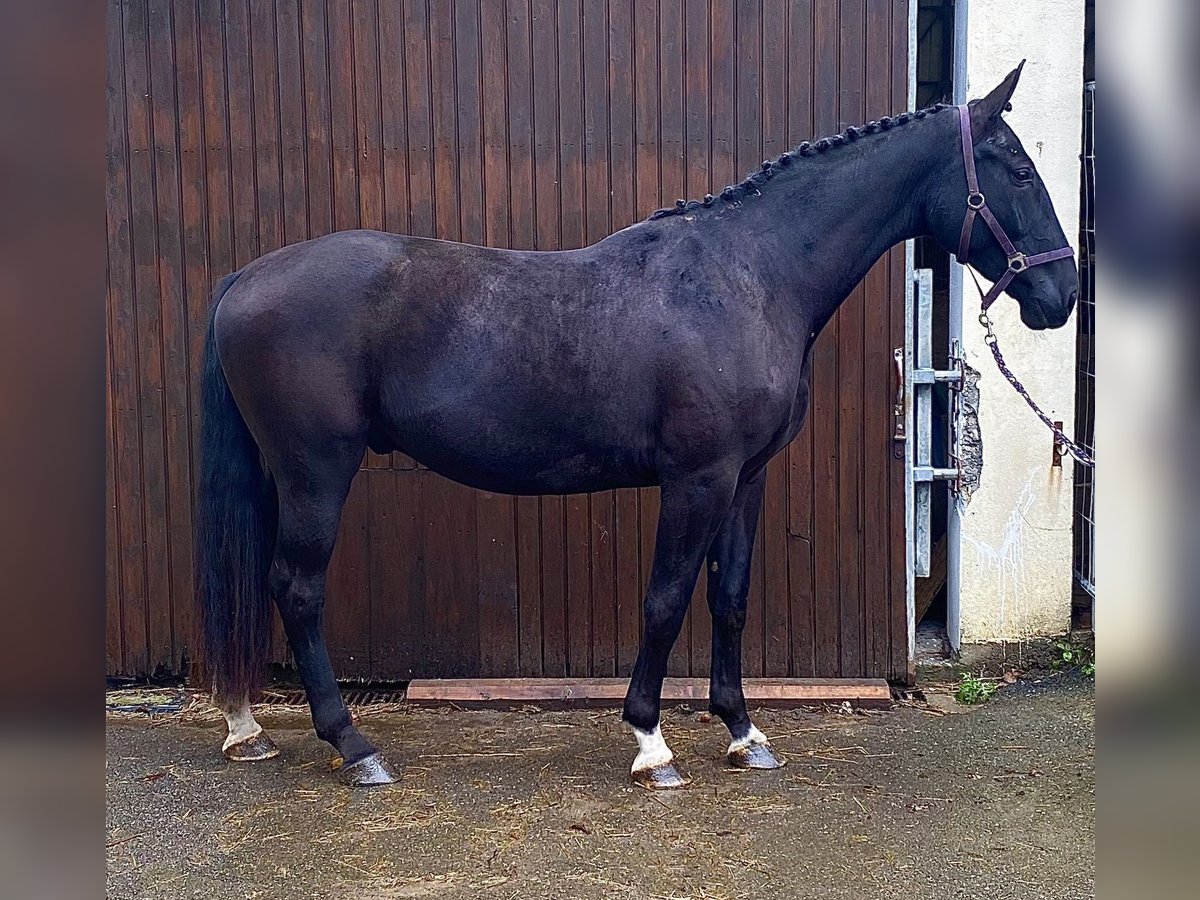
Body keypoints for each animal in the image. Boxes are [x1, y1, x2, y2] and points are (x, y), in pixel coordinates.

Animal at [196, 65, 1080, 787]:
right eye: (1020, 170)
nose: (1062, 295)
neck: (749, 275)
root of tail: (246, 276)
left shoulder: (746, 478)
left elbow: (729, 597)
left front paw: (743, 733)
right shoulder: (698, 478)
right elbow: (665, 600)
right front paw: (652, 745)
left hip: (281, 473)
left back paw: (248, 728)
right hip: (317, 470)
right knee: (297, 588)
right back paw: (354, 747)